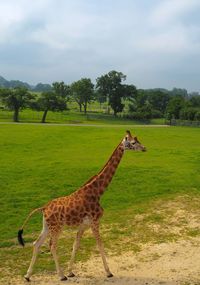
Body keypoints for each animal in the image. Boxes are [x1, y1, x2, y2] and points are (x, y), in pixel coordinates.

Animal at [18, 130, 146, 280]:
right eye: (133, 142)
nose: (144, 148)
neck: (97, 192)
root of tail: (43, 208)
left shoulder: (83, 225)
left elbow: (76, 245)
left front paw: (71, 271)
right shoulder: (95, 221)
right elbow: (100, 244)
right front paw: (108, 272)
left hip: (47, 226)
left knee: (37, 243)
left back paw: (28, 275)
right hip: (56, 228)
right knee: (52, 245)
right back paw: (61, 275)